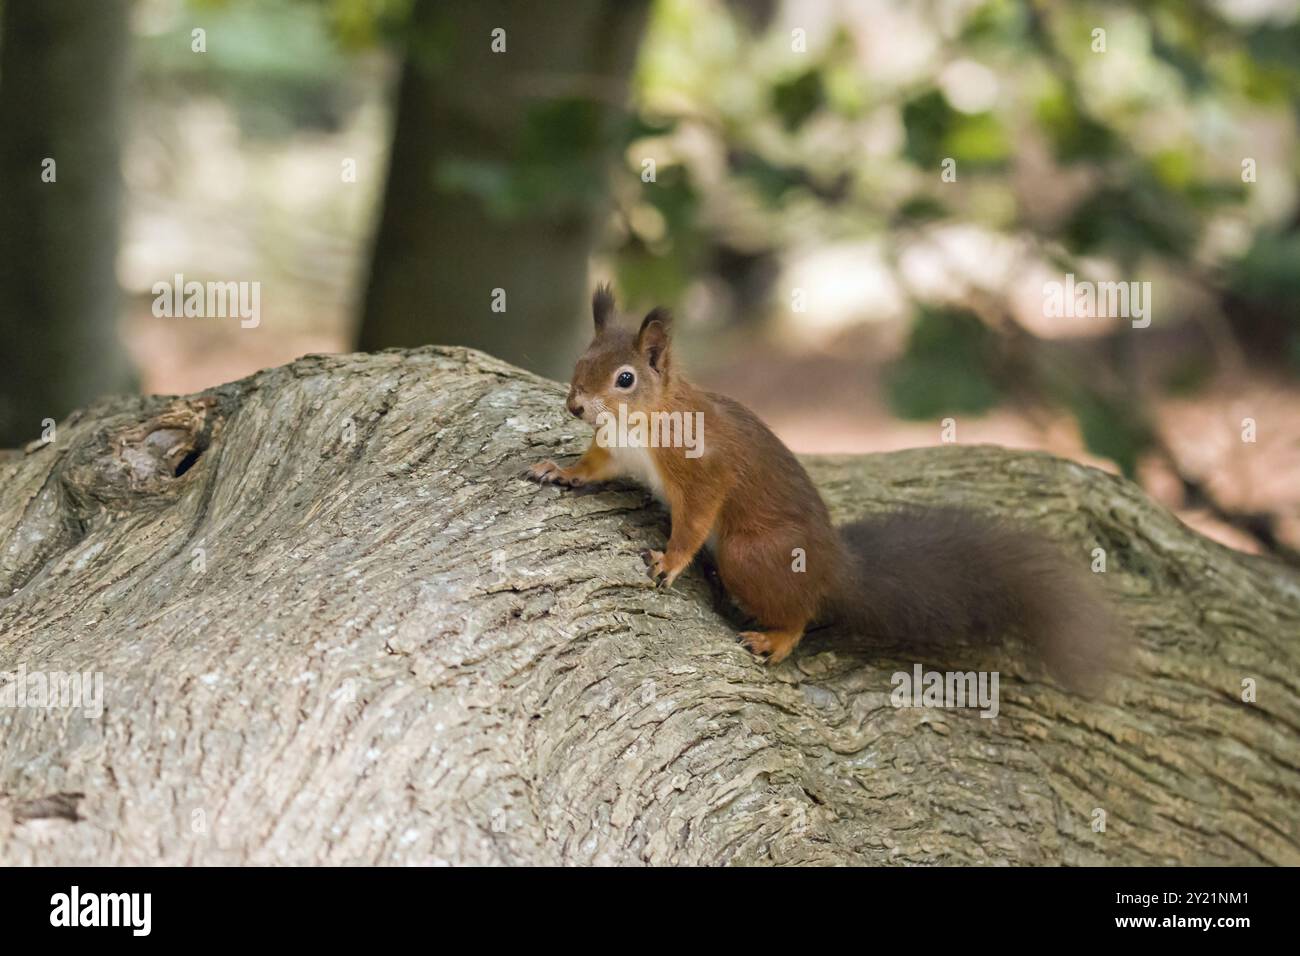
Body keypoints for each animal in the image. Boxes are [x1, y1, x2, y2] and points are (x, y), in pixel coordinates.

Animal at [525, 285, 1120, 686]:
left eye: (625, 378)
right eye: (580, 361)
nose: (576, 405)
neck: (641, 421)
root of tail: (837, 570)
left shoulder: (702, 470)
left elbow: (695, 518)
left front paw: (670, 562)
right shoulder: (614, 452)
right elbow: (593, 466)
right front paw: (559, 470)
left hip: (753, 553)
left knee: (799, 612)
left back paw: (774, 636)